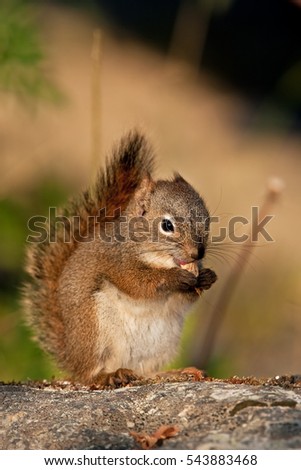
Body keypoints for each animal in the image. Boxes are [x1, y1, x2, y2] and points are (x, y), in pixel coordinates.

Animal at [23, 130, 216, 388]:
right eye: (167, 225)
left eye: (207, 220)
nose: (197, 254)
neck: (159, 258)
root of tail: (72, 357)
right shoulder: (117, 262)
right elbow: (139, 284)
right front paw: (175, 278)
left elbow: (186, 298)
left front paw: (206, 277)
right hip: (94, 331)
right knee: (90, 374)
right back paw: (109, 375)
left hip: (162, 343)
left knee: (146, 372)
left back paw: (175, 372)